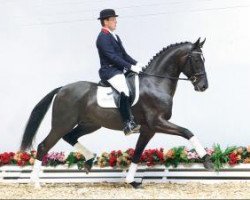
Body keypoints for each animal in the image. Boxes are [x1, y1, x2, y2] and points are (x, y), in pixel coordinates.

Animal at [20, 38, 214, 189]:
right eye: (197, 60)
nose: (204, 86)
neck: (155, 83)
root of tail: (62, 89)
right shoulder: (157, 122)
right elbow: (187, 132)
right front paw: (207, 161)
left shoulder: (148, 129)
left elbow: (137, 153)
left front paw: (131, 181)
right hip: (62, 123)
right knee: (44, 146)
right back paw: (34, 182)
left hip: (90, 124)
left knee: (70, 137)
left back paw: (89, 160)